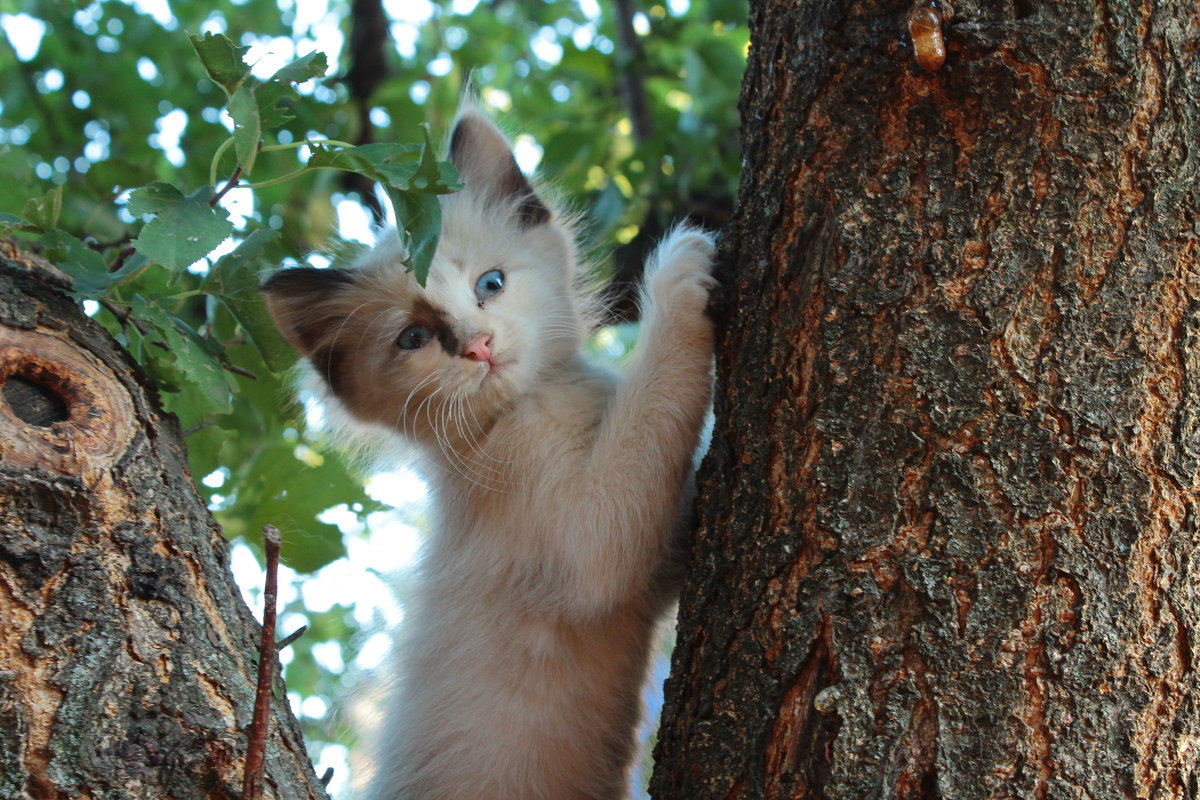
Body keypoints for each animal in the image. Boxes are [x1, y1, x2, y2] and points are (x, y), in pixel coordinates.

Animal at [260, 107, 710, 800]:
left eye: (490, 284)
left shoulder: (652, 575)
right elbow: (656, 404)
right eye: (415, 338)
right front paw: (681, 270)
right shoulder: (591, 540)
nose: (478, 346)